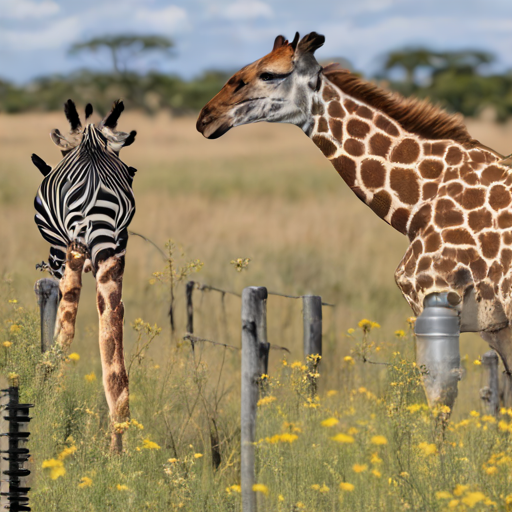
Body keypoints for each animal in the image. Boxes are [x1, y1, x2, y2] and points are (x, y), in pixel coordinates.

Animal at [197, 31, 512, 408]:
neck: (419, 203)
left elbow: (439, 398)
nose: (206, 118)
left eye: (269, 74)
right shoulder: (495, 324)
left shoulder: (435, 296)